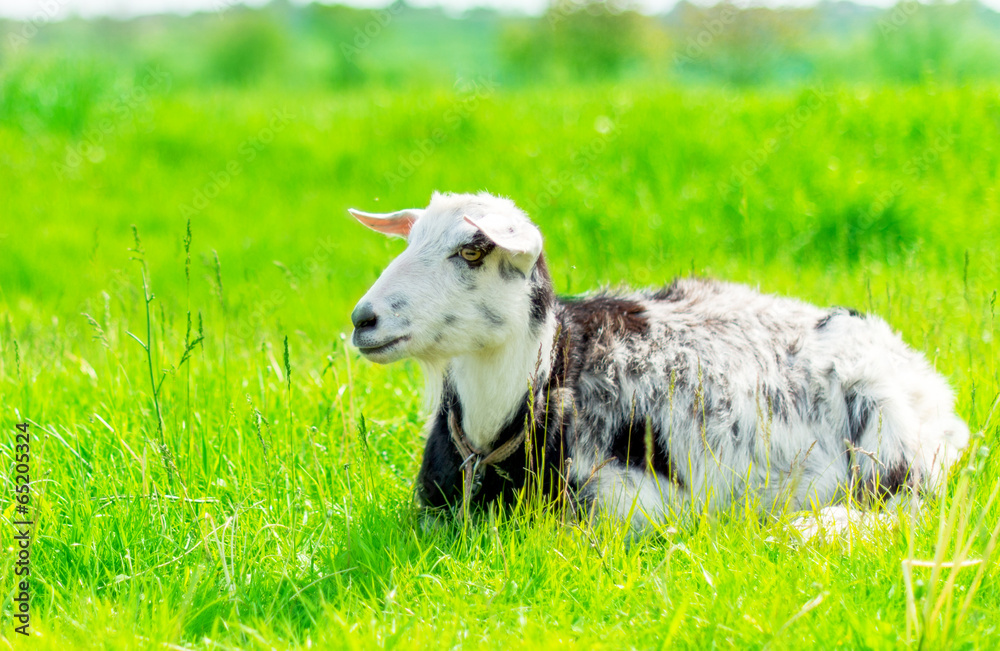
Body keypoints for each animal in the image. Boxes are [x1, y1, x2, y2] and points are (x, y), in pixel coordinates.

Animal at [348, 191, 969, 533]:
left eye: (473, 250)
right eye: (409, 243)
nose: (363, 319)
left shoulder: (633, 503)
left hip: (891, 447)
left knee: (904, 509)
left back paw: (808, 529)